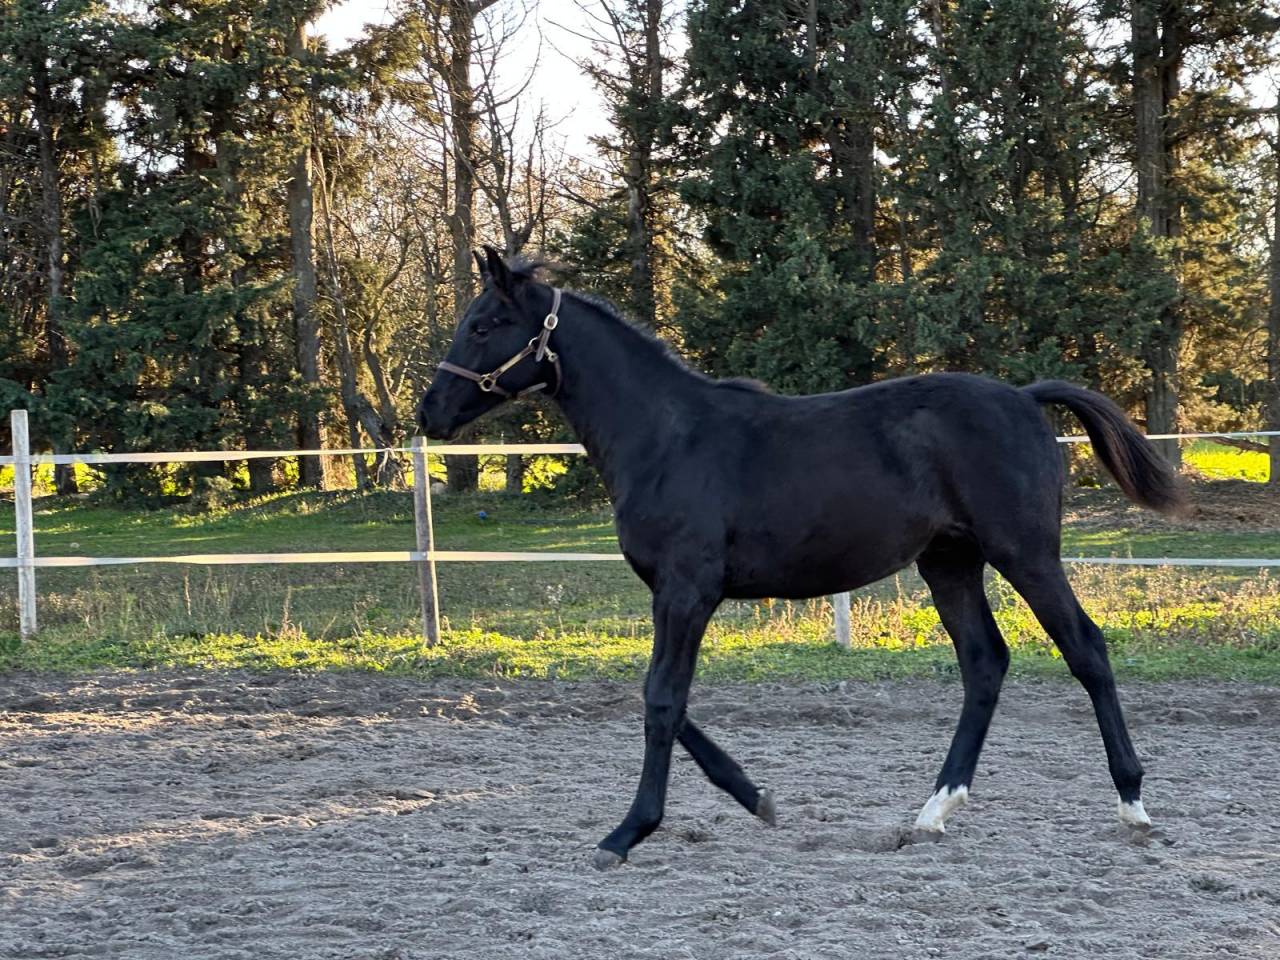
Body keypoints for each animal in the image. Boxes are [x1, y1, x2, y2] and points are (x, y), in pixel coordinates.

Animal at [417, 246, 1186, 869]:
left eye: (484, 324)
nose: (429, 413)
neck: (667, 438)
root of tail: (1027, 398)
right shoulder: (676, 594)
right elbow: (665, 698)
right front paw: (756, 796)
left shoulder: (686, 591)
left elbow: (661, 700)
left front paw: (626, 833)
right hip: (949, 562)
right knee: (984, 662)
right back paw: (934, 811)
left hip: (1024, 553)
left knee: (1085, 648)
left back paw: (1133, 806)